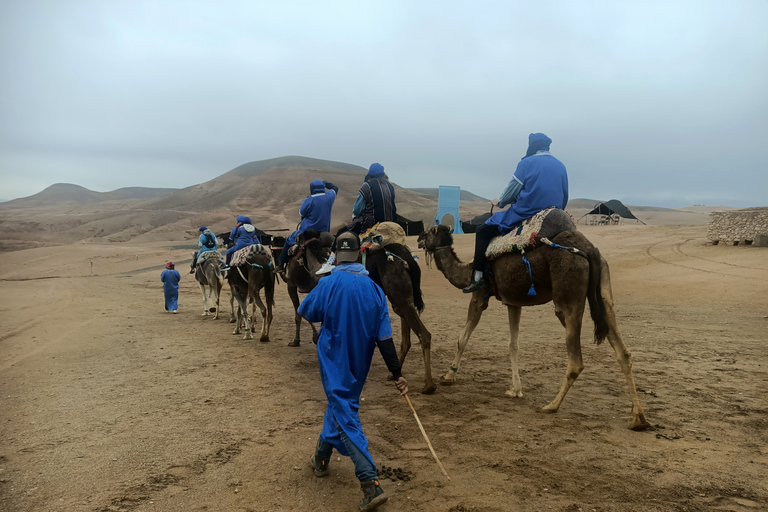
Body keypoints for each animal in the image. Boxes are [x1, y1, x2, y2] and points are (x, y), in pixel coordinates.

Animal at [364, 243, 436, 392]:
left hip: (400, 299)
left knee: (424, 335)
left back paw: (429, 385)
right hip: (402, 302)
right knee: (406, 340)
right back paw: (395, 375)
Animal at [416, 226, 652, 430]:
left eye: (428, 232)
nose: (418, 239)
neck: (466, 271)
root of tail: (590, 250)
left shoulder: (479, 295)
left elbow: (463, 338)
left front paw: (448, 376)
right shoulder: (513, 301)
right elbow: (513, 344)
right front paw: (515, 390)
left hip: (567, 297)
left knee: (576, 360)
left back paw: (551, 406)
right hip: (604, 292)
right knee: (623, 352)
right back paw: (638, 418)